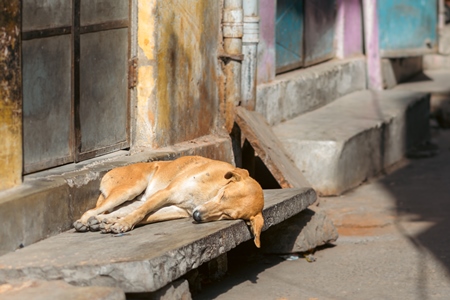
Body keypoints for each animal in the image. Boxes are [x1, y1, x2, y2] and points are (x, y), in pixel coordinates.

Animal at [72, 156, 266, 247]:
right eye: (223, 195)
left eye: (228, 215)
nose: (197, 216)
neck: (211, 190)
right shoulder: (167, 193)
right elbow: (142, 213)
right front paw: (122, 225)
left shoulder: (177, 210)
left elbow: (146, 217)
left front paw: (115, 223)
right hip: (130, 189)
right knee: (92, 210)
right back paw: (84, 222)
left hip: (134, 198)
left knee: (113, 212)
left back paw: (100, 221)